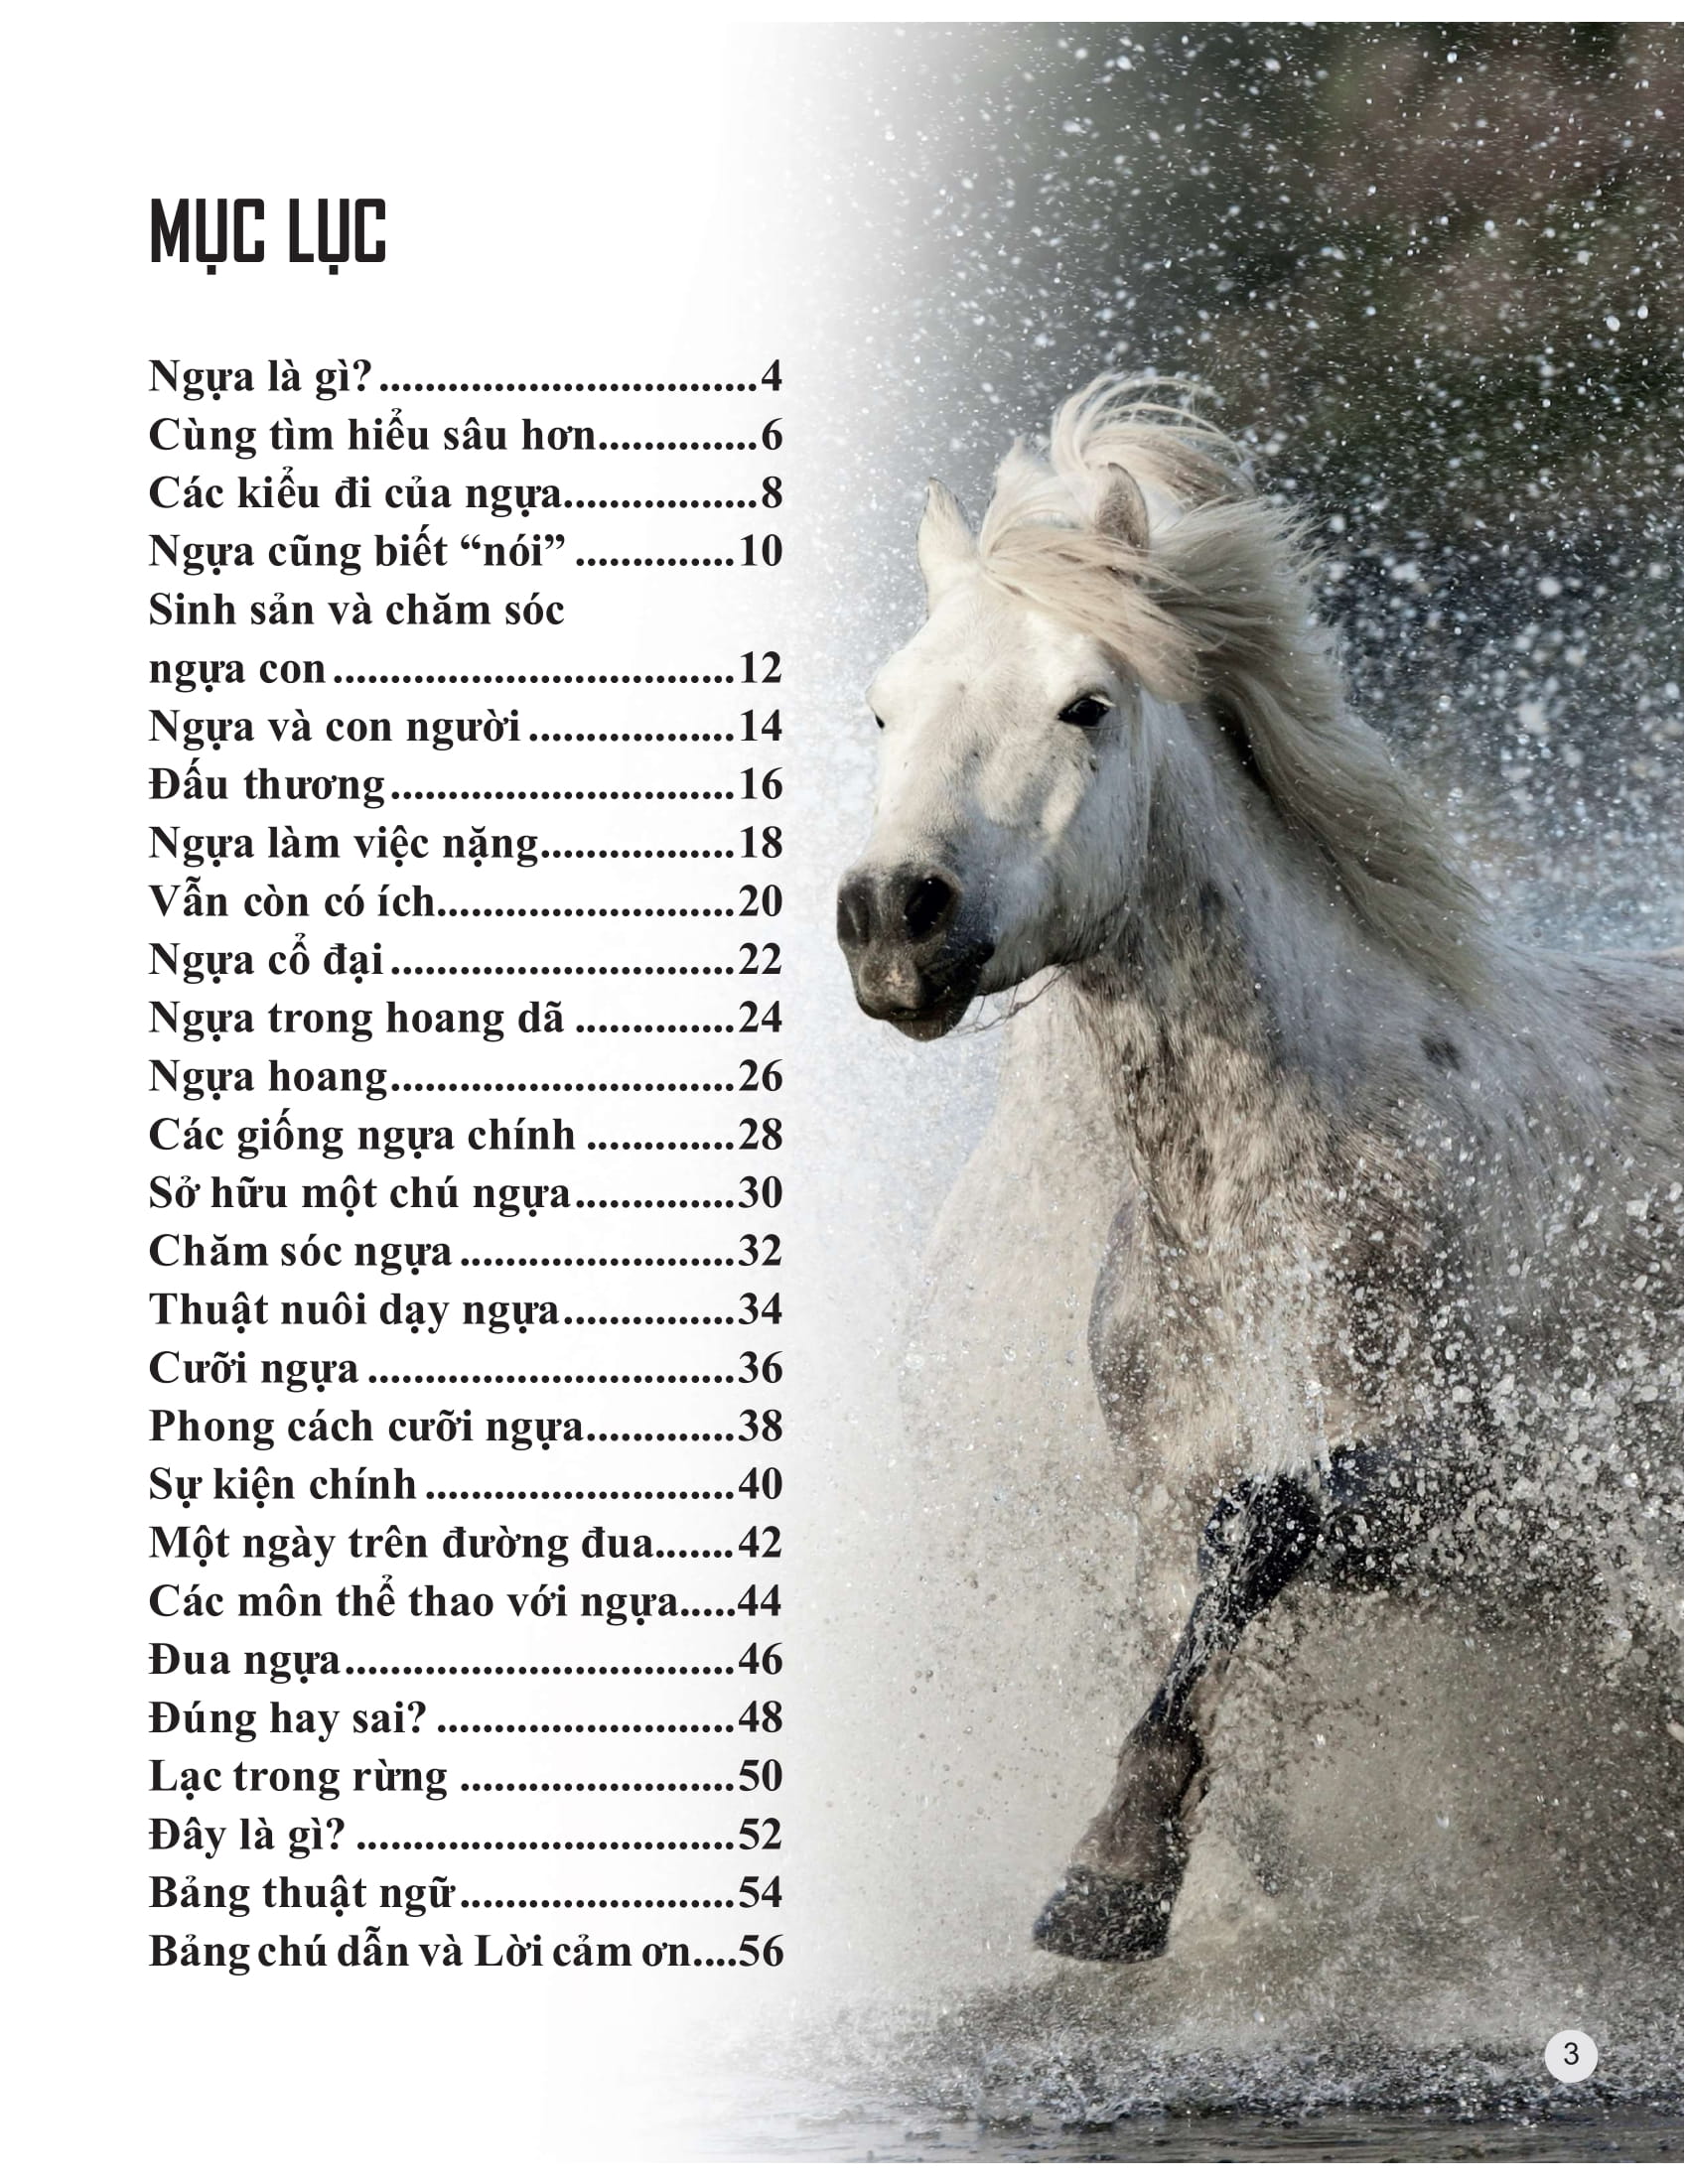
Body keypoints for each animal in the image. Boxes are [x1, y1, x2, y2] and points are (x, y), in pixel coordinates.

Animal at [835, 377, 1682, 1964]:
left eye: (1086, 704)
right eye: (884, 703)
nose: (891, 919)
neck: (1257, 1208)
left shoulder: (1504, 1497)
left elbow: (1273, 1523)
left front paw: (1109, 1876)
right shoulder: (1158, 1504)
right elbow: (1206, 1637)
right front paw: (1163, 1879)